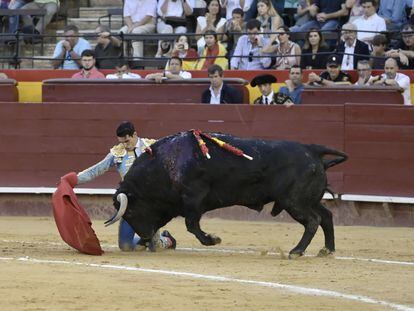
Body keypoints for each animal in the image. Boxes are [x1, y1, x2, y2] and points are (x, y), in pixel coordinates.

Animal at [110, 132, 346, 258]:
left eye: (130, 212)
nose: (145, 236)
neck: (166, 164)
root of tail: (312, 150)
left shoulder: (193, 199)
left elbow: (192, 225)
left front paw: (212, 239)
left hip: (294, 201)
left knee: (313, 220)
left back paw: (296, 251)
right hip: (308, 199)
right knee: (326, 216)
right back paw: (327, 249)